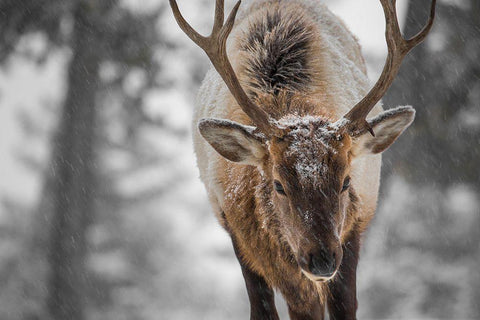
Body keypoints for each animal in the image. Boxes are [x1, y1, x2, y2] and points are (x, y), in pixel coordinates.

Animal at [171, 0, 436, 318]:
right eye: (278, 185)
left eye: (346, 181)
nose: (321, 260)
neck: (290, 104)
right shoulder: (239, 233)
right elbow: (266, 309)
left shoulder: (352, 228)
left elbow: (344, 306)